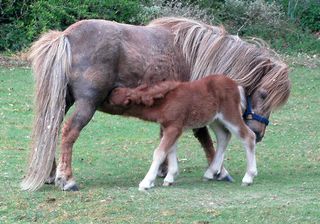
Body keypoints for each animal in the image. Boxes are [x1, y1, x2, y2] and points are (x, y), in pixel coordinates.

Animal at [109, 75, 256, 189]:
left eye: (112, 99)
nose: (110, 90)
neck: (166, 101)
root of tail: (237, 86)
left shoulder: (174, 127)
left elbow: (160, 152)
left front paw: (146, 182)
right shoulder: (170, 128)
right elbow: (170, 150)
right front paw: (169, 178)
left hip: (230, 115)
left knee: (248, 136)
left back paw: (248, 177)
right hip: (215, 119)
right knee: (223, 136)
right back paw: (210, 173)